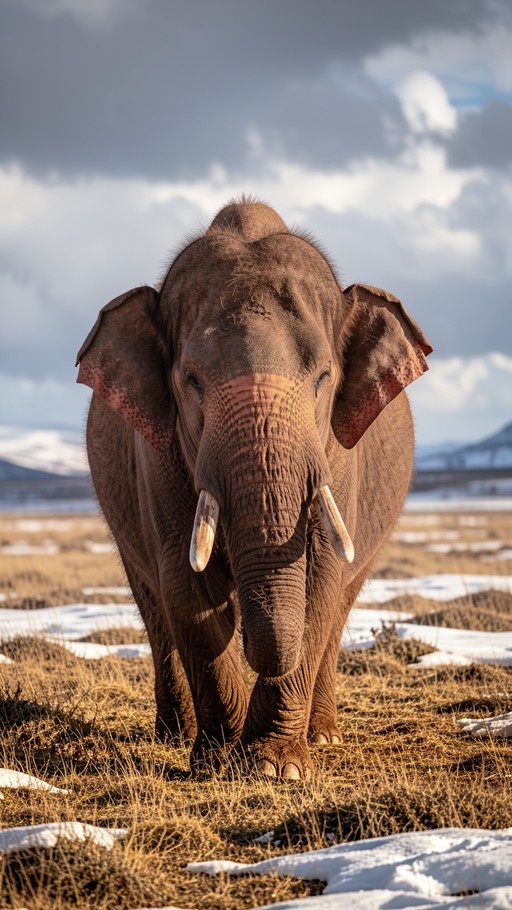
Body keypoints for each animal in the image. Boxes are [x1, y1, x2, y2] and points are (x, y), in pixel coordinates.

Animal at [76, 198, 432, 780]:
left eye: (323, 377)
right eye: (192, 381)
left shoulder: (339, 457)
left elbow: (319, 580)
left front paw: (274, 767)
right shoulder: (156, 456)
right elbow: (189, 590)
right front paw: (218, 762)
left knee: (339, 606)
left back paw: (323, 735)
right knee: (156, 610)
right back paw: (175, 736)